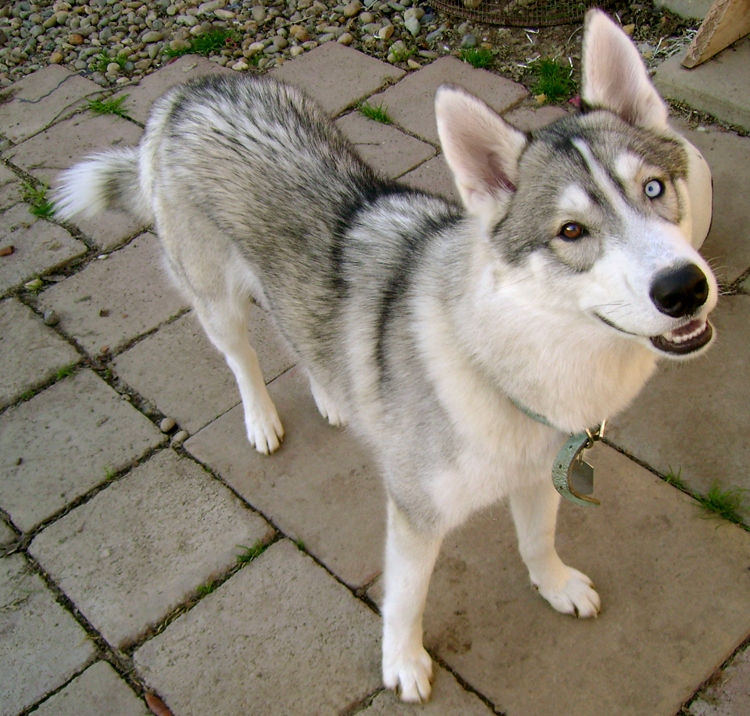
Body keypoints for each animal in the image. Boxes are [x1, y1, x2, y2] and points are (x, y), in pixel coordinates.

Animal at [55, 9, 720, 704]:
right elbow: (406, 598)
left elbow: (538, 540)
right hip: (217, 303)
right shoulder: (416, 513)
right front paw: (401, 663)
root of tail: (185, 94)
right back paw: (261, 419)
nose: (684, 288)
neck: (512, 357)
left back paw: (333, 394)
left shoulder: (540, 471)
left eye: (655, 188)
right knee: (243, 358)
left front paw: (555, 585)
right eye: (571, 232)